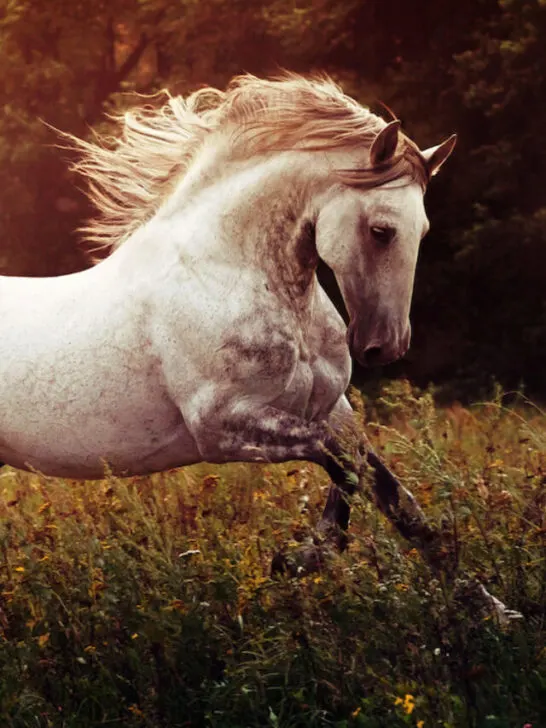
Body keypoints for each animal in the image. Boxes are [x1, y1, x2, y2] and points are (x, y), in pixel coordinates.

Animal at [0, 73, 517, 620]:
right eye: (381, 230)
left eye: (423, 229)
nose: (385, 347)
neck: (232, 272)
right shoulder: (222, 427)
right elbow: (341, 463)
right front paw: (300, 558)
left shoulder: (333, 410)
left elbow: (394, 498)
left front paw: (494, 611)